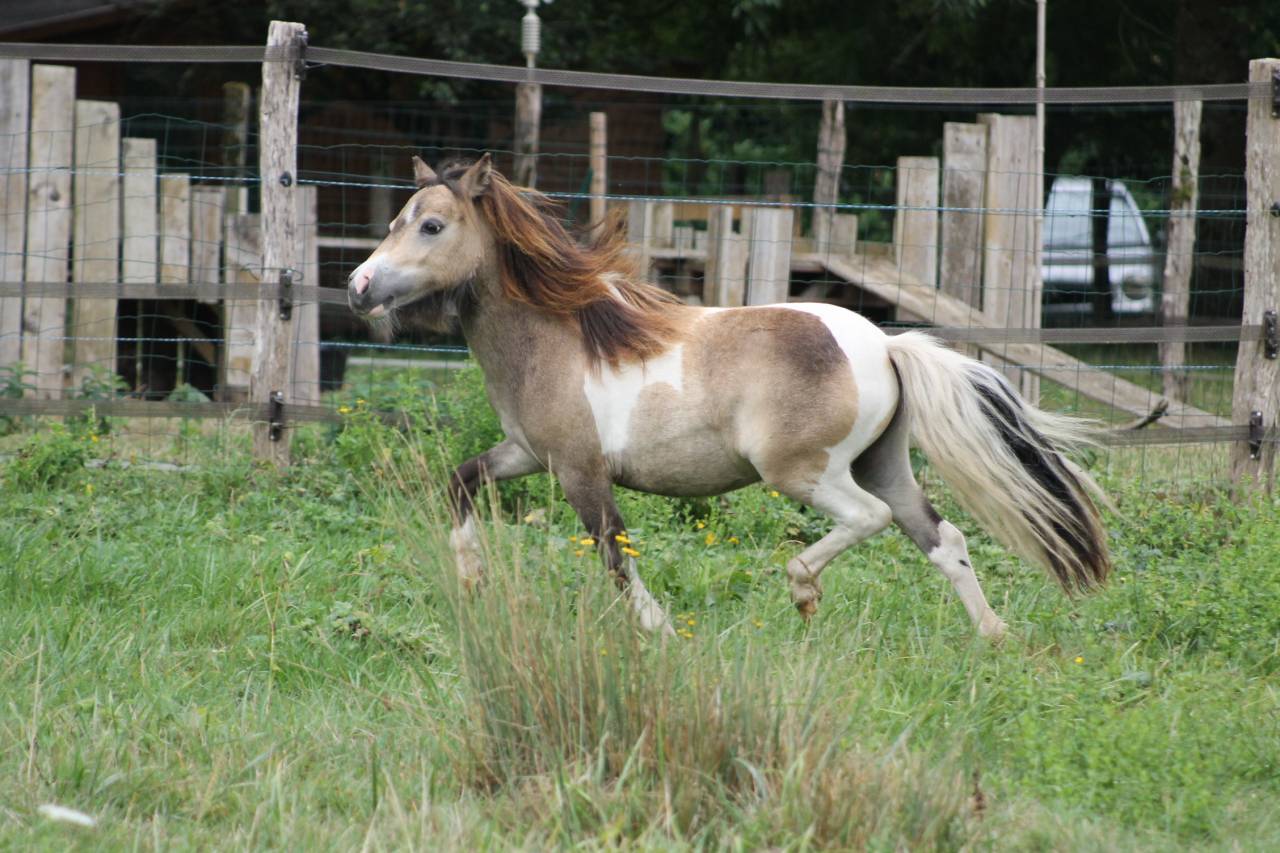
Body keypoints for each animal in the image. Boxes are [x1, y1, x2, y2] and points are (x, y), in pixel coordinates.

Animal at [347, 154, 1110, 638]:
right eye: (393, 222)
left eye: (432, 226)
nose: (358, 287)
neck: (562, 337)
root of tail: (885, 346)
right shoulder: (528, 454)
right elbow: (460, 481)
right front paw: (472, 580)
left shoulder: (579, 470)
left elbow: (614, 552)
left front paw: (657, 628)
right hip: (885, 464)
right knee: (942, 537)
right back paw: (994, 634)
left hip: (805, 472)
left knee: (867, 520)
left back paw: (803, 589)